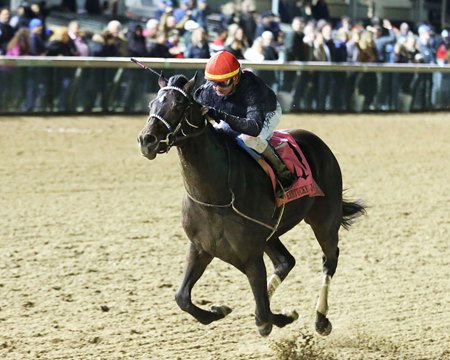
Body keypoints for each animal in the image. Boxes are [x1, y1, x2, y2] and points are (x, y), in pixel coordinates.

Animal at [137, 71, 366, 336]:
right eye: (151, 105)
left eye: (178, 106)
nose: (146, 140)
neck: (215, 198)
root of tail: (317, 142)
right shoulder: (200, 248)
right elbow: (182, 298)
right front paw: (220, 310)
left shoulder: (250, 256)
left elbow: (263, 318)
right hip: (270, 233)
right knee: (286, 262)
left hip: (324, 219)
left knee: (329, 260)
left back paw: (321, 319)